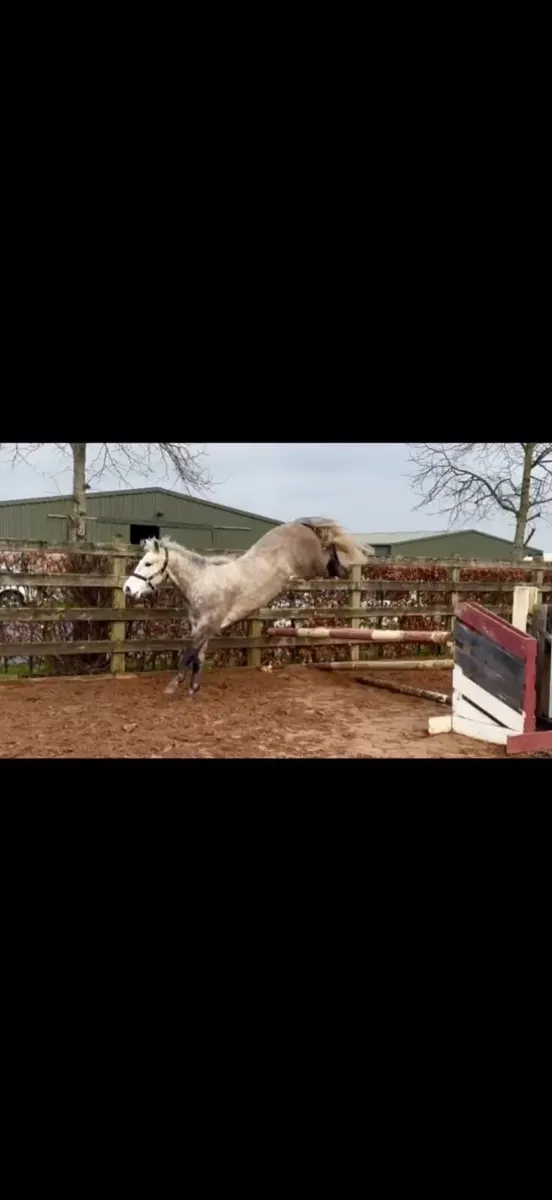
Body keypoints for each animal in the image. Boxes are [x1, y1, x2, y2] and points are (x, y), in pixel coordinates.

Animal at [123, 517, 366, 696]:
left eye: (148, 563)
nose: (127, 589)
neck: (202, 582)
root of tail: (298, 524)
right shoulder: (199, 626)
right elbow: (198, 656)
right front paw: (193, 688)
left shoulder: (209, 625)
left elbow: (189, 652)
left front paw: (174, 685)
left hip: (312, 566)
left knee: (329, 554)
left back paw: (344, 568)